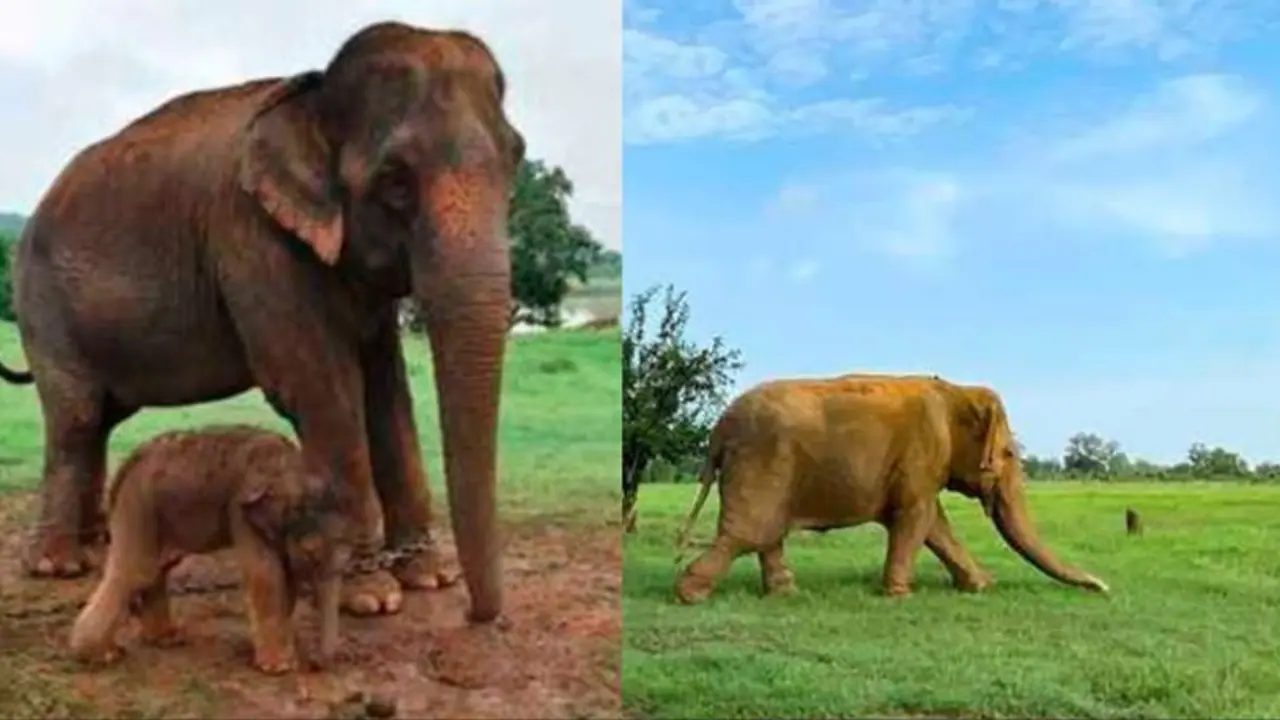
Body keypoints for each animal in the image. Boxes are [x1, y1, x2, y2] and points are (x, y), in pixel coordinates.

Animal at [0, 21, 524, 621]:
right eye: (395, 181)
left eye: (517, 160)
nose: (479, 615)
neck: (313, 97)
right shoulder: (254, 238)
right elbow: (321, 391)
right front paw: (369, 597)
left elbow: (385, 393)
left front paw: (428, 578)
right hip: (41, 303)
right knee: (79, 417)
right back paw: (58, 565)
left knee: (101, 419)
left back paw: (96, 548)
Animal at [69, 426, 348, 674]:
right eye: (312, 553)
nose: (316, 664)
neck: (288, 461)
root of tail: (128, 462)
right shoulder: (240, 509)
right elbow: (265, 574)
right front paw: (279, 667)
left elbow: (286, 575)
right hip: (138, 505)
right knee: (137, 571)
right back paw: (102, 656)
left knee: (156, 570)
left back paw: (167, 639)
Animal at [673, 373, 1109, 604]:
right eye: (1009, 453)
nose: (1103, 588)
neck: (956, 391)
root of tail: (717, 430)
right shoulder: (923, 453)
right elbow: (919, 517)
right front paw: (901, 595)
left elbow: (935, 524)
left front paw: (981, 587)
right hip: (761, 466)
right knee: (748, 533)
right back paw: (689, 594)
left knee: (766, 534)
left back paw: (785, 594)